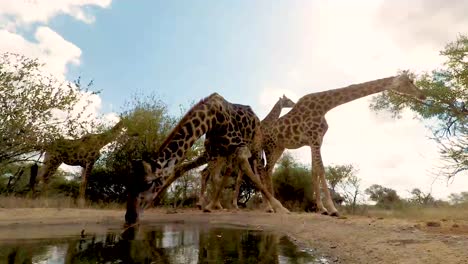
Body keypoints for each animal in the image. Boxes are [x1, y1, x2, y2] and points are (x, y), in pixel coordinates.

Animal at [124, 93, 288, 225]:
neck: (212, 118)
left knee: (259, 171)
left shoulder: (239, 147)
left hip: (254, 148)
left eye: (148, 183)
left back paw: (270, 206)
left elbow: (245, 175)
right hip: (226, 154)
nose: (130, 217)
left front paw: (280, 207)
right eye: (128, 184)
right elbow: (216, 176)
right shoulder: (218, 152)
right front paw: (211, 205)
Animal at [262, 73, 426, 216]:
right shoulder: (314, 139)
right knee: (265, 170)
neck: (325, 106)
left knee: (267, 170)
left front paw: (322, 209)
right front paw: (332, 209)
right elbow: (321, 170)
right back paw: (274, 207)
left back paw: (274, 206)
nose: (423, 95)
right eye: (409, 81)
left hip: (279, 147)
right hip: (270, 147)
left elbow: (314, 172)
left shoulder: (316, 141)